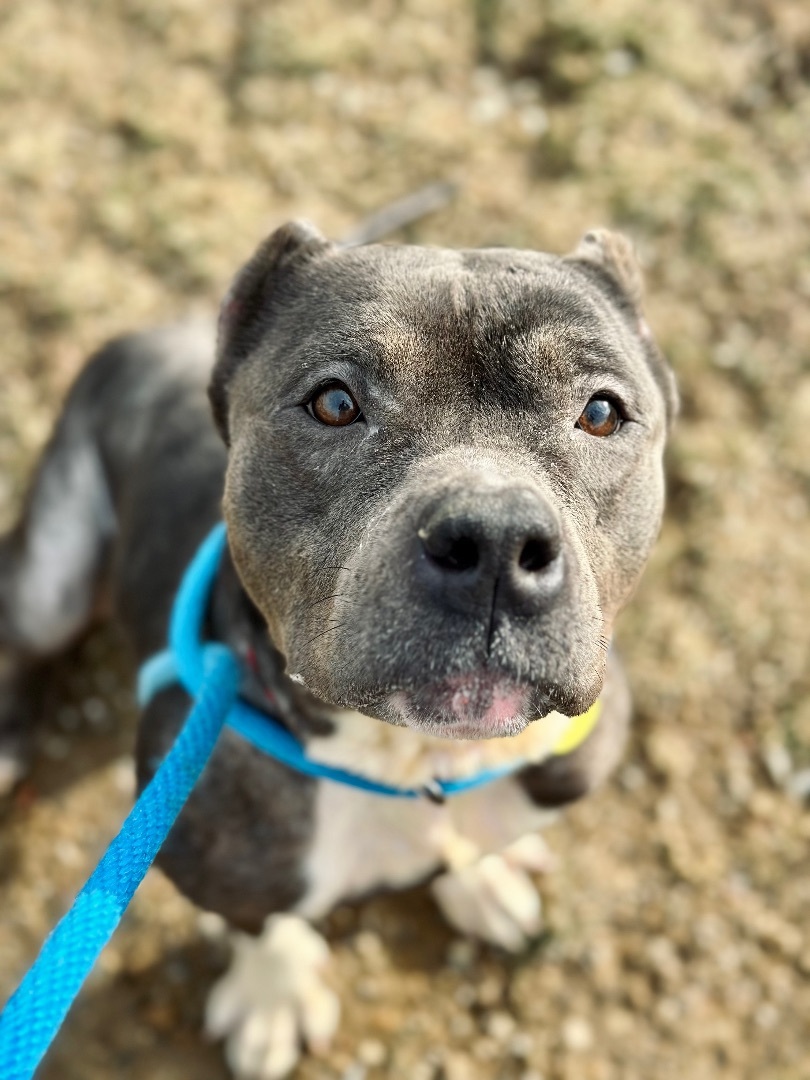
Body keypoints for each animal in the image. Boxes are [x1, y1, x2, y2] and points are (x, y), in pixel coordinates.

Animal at [0, 223, 678, 1075]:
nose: (493, 539)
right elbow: (259, 923)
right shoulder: (210, 850)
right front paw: (275, 993)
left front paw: (481, 875)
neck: (415, 766)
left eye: (600, 412)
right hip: (50, 580)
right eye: (333, 403)